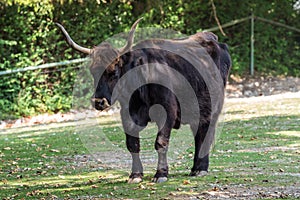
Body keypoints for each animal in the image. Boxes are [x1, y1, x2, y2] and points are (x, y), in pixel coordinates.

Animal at [56, 18, 232, 183]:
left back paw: (200, 169)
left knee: (203, 134)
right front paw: (135, 174)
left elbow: (161, 142)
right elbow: (132, 144)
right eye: (93, 72)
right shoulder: (128, 115)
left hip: (211, 110)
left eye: (114, 72)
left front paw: (161, 174)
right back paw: (195, 168)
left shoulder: (168, 112)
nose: (99, 101)